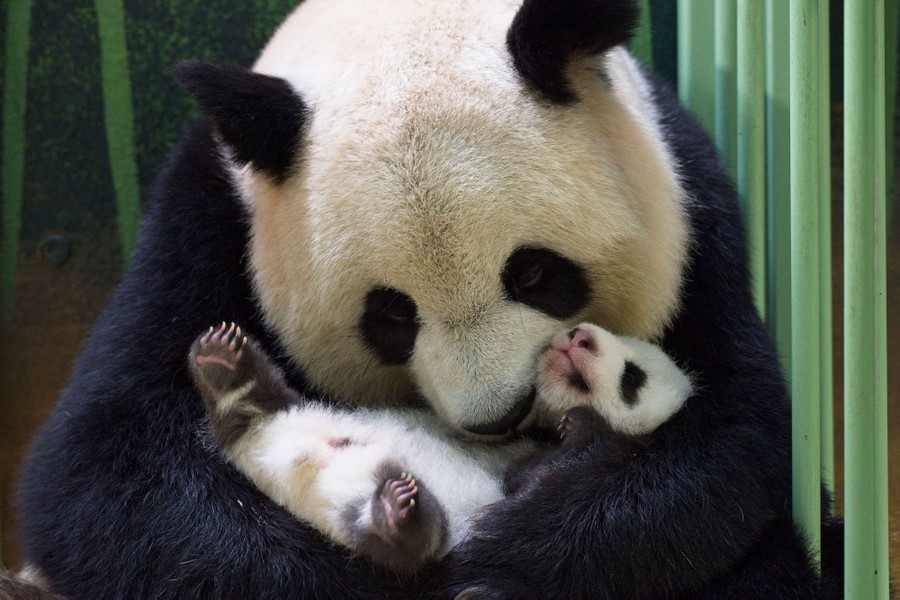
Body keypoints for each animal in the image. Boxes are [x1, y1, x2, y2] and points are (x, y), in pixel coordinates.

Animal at [186, 321, 693, 577]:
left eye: (633, 377)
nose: (579, 335)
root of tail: (277, 455)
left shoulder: (586, 470)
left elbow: (536, 480)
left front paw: (581, 427)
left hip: (396, 526)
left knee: (409, 544)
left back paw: (396, 513)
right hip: (297, 413)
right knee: (261, 400)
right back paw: (224, 364)